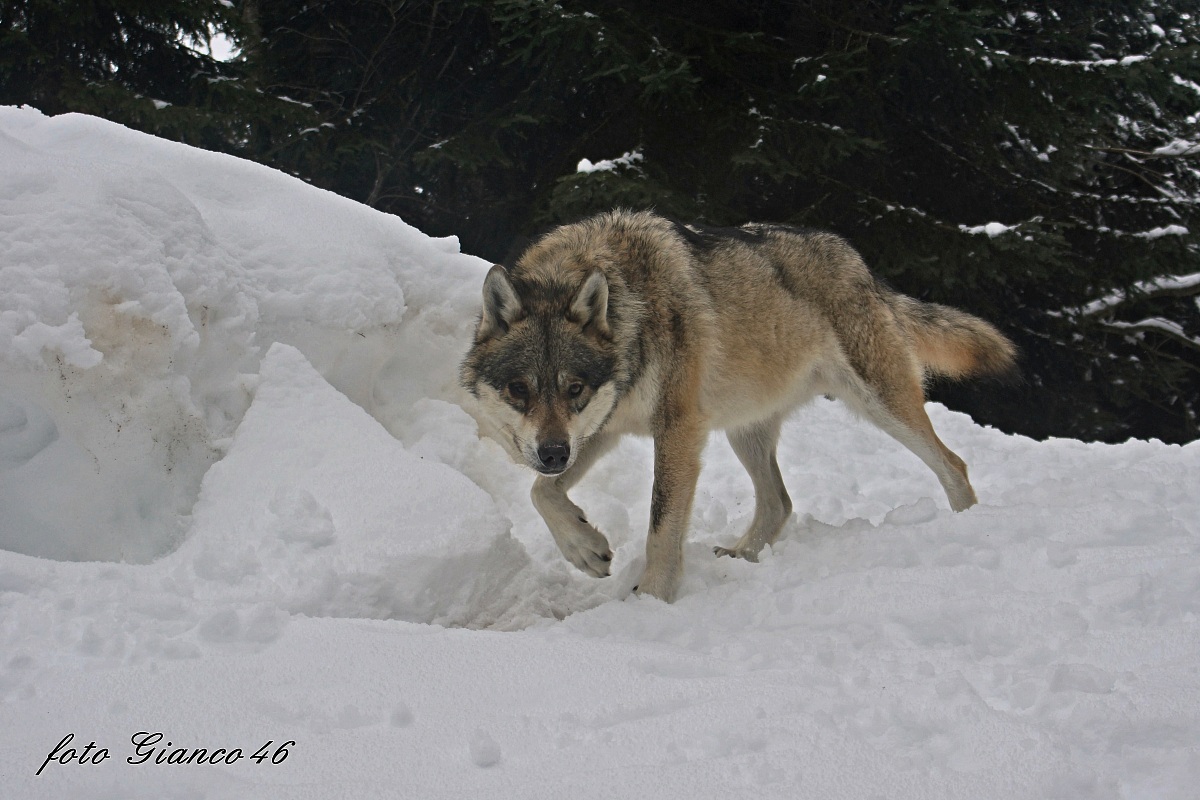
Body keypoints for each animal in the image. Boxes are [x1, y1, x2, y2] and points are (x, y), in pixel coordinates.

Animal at [460, 210, 1017, 602]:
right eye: (519, 389)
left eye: (574, 388)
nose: (554, 454)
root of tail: (859, 263)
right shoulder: (603, 428)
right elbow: (541, 493)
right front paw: (586, 550)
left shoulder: (677, 430)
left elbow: (661, 527)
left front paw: (650, 602)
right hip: (743, 431)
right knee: (780, 502)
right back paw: (740, 556)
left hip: (880, 403)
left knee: (954, 464)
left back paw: (970, 524)